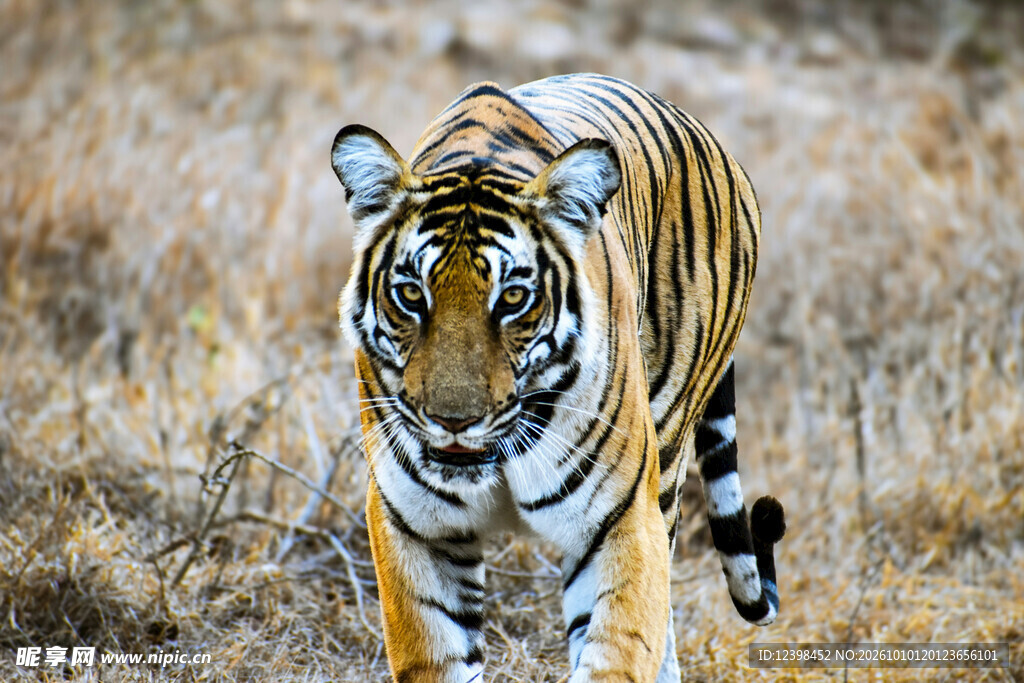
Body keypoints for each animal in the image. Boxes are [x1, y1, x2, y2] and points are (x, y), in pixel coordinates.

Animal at [330, 73, 785, 682]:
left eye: (512, 299)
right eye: (410, 294)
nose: (454, 420)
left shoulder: (621, 519)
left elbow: (617, 650)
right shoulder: (415, 527)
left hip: (666, 460)